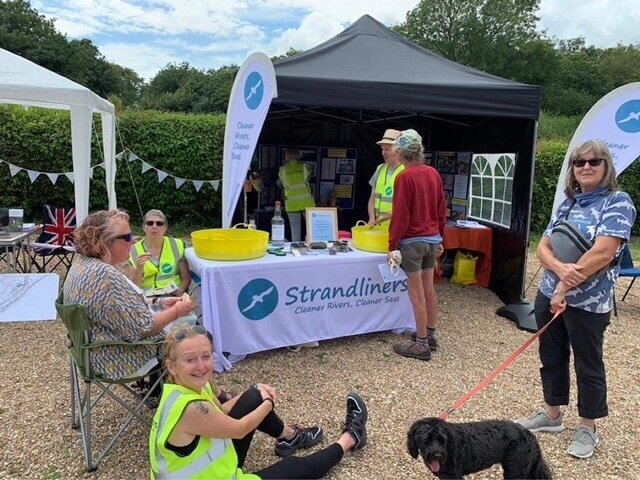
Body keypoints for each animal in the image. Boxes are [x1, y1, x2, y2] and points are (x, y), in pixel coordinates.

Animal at [410, 416, 552, 480]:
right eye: (425, 440)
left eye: (442, 439)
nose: (437, 455)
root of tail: (530, 435)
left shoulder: (454, 476)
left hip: (515, 471)